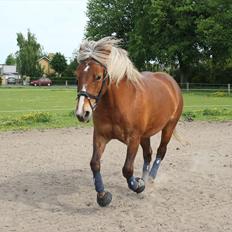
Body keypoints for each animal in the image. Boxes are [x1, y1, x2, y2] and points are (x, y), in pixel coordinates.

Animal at [75, 37, 182, 208]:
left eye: (97, 76)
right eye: (77, 76)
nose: (81, 113)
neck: (116, 105)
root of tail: (171, 82)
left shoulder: (133, 139)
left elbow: (127, 169)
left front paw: (138, 185)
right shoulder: (100, 136)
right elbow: (95, 164)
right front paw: (103, 196)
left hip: (169, 127)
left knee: (160, 152)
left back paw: (149, 179)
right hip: (145, 135)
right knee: (148, 154)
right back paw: (145, 177)